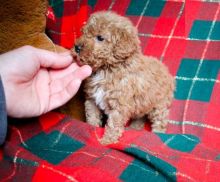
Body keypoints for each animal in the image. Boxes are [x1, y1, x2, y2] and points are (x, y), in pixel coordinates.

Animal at [73, 11, 174, 145]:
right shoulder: (92, 99)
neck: (106, 69)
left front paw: (106, 141)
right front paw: (91, 129)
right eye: (84, 33)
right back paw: (134, 127)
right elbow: (92, 115)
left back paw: (157, 133)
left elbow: (113, 125)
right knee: (140, 116)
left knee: (160, 119)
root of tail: (165, 69)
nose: (77, 47)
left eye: (100, 38)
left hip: (160, 103)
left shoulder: (119, 106)